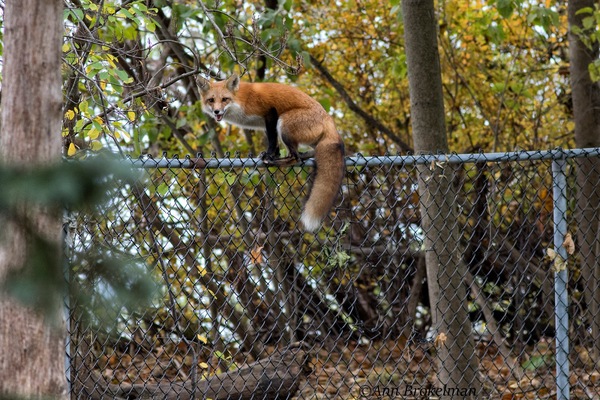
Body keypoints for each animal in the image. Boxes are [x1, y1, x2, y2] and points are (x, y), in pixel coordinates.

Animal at [197, 74, 345, 232]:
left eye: (225, 99)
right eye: (211, 100)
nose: (217, 112)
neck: (240, 100)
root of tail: (329, 120)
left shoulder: (270, 113)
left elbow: (272, 141)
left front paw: (269, 156)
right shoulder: (264, 124)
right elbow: (275, 144)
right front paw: (272, 154)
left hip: (284, 123)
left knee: (295, 157)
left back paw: (277, 161)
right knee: (303, 154)